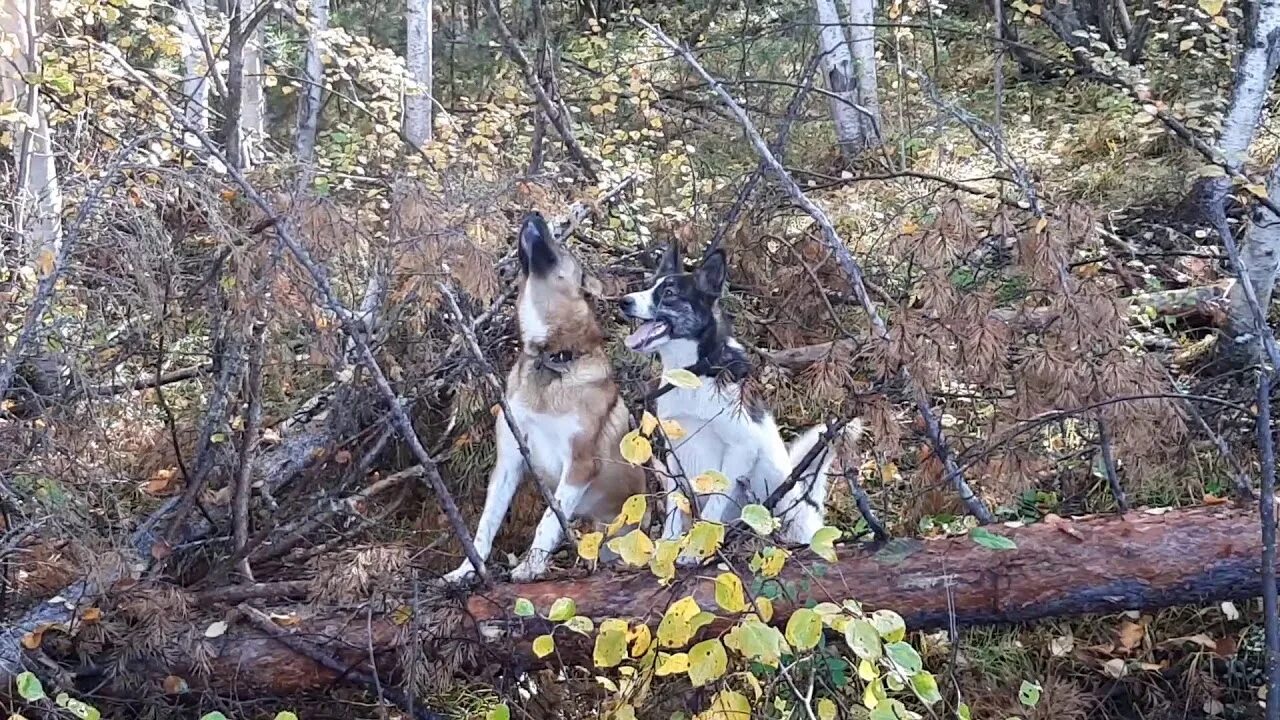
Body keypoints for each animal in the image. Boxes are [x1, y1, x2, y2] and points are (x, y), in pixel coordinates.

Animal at [448, 210, 645, 579]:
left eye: (562, 245)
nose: (534, 213)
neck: (553, 358)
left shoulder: (580, 465)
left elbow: (549, 521)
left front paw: (530, 566)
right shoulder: (508, 462)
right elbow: (486, 525)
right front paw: (467, 569)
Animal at [619, 242, 860, 543]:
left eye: (669, 293)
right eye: (648, 286)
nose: (623, 301)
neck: (695, 374)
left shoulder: (741, 449)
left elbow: (713, 507)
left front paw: (695, 547)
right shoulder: (676, 455)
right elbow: (676, 506)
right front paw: (669, 544)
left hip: (785, 508)